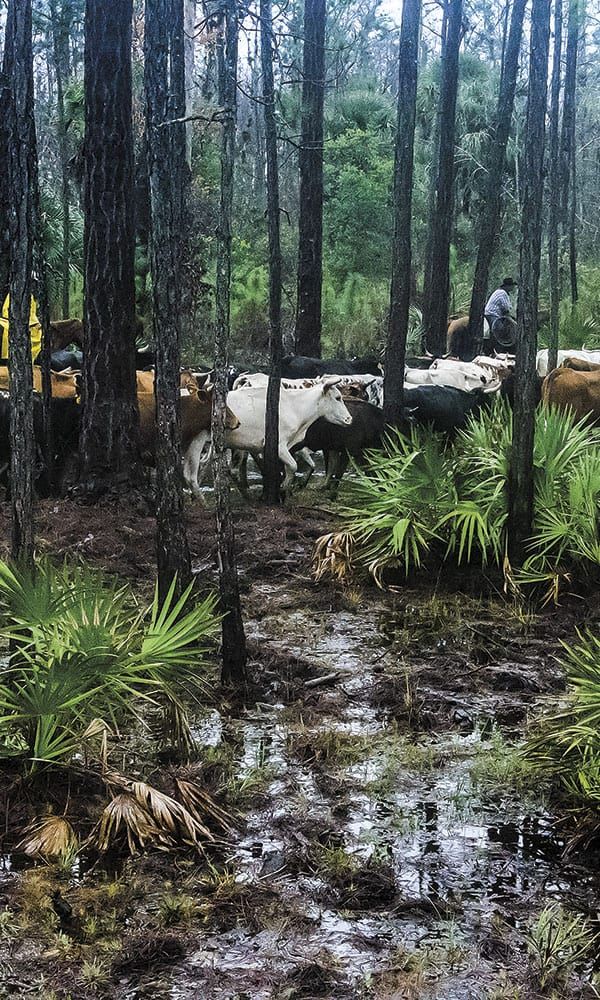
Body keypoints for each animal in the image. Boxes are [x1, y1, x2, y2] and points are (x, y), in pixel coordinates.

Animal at [184, 376, 352, 494]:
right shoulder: (279, 445)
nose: (349, 419)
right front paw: (284, 486)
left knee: (205, 465)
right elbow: (293, 465)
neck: (294, 406)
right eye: (338, 398)